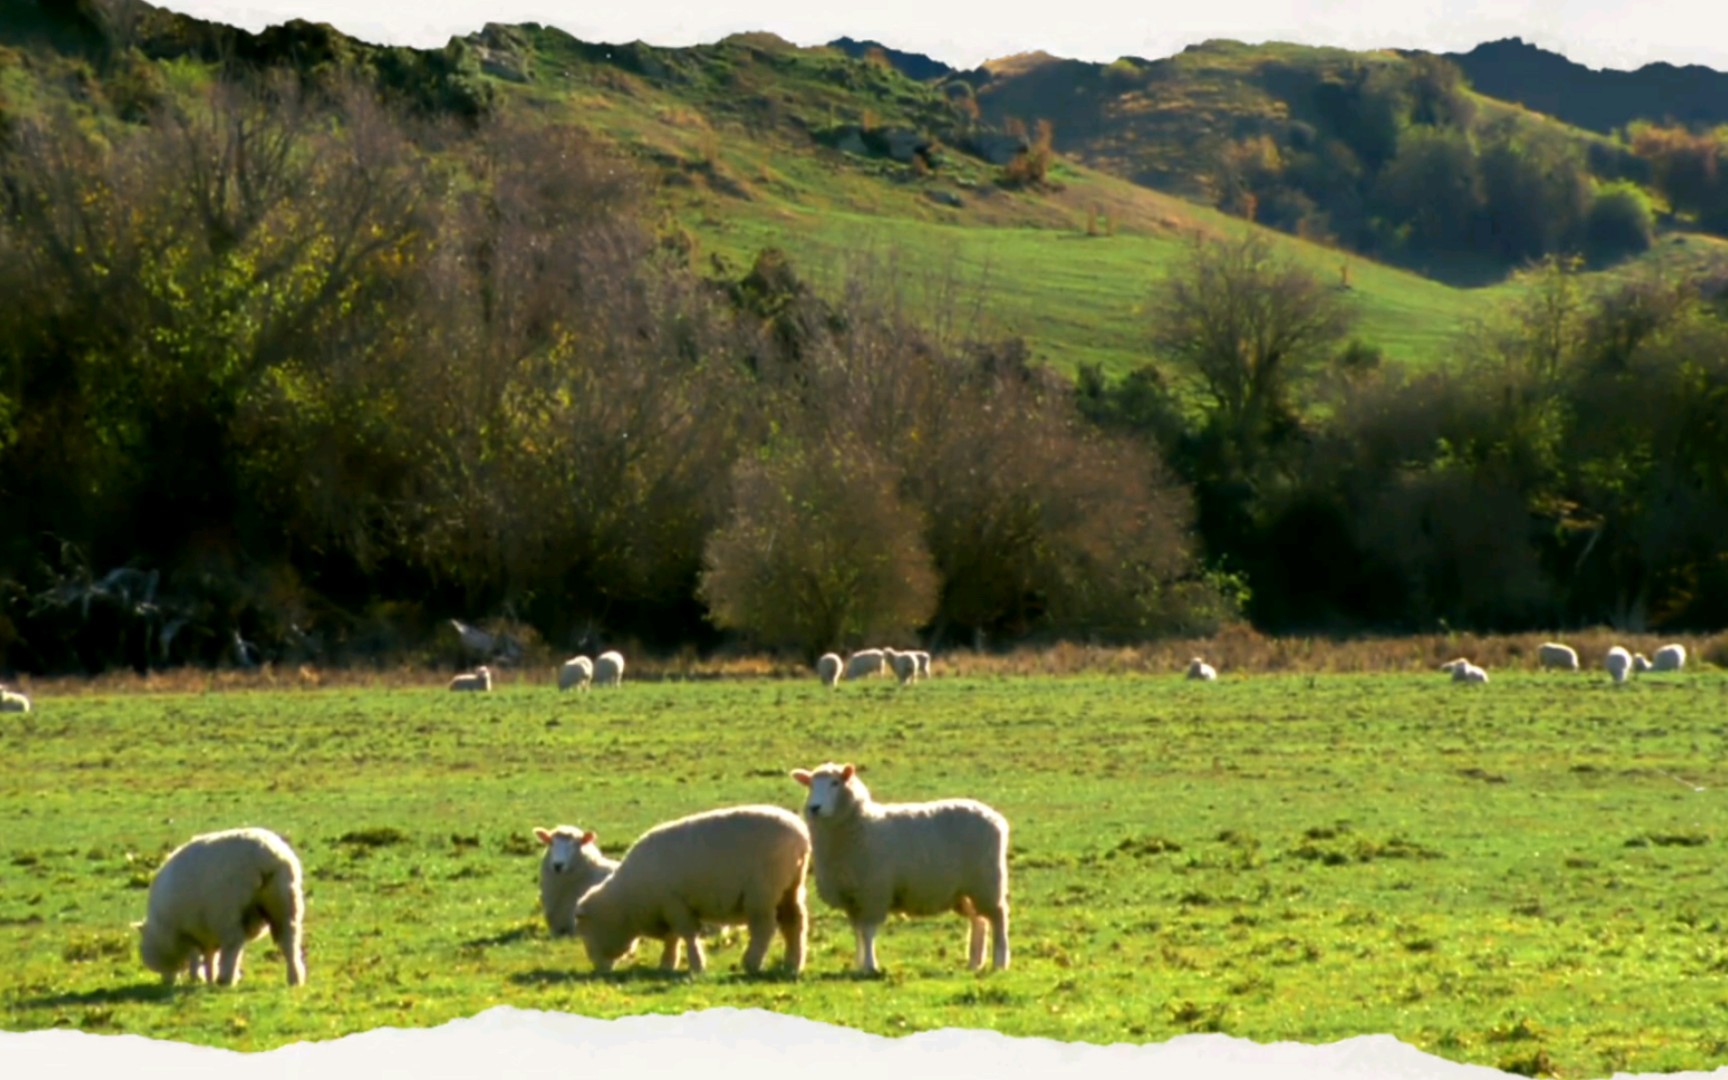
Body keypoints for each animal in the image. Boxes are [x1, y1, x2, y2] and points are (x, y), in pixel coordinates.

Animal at [134, 825, 307, 988]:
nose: (167, 982)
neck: (161, 926)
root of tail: (267, 856)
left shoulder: (190, 929)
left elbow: (196, 956)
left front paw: (198, 977)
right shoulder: (204, 931)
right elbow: (209, 955)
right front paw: (208, 977)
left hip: (227, 910)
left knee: (233, 942)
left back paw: (226, 978)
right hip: (285, 901)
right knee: (289, 940)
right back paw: (295, 978)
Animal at [566, 801, 808, 974]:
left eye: (586, 932)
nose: (599, 970)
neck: (627, 899)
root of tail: (801, 835)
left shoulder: (675, 903)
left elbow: (687, 934)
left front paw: (696, 965)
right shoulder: (667, 907)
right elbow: (672, 937)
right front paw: (667, 964)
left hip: (763, 891)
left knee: (764, 928)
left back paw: (752, 963)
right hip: (791, 887)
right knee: (794, 923)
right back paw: (792, 964)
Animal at [787, 756, 1009, 974]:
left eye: (835, 783)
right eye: (810, 785)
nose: (814, 808)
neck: (859, 825)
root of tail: (996, 818)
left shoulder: (873, 893)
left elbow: (867, 932)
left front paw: (870, 966)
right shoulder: (852, 897)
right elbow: (857, 932)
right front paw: (859, 964)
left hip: (987, 880)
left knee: (998, 917)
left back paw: (999, 962)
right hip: (964, 890)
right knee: (979, 919)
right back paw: (974, 962)